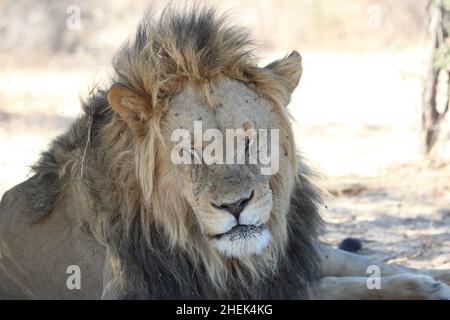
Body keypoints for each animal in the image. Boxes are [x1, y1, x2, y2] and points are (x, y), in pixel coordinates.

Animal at [0, 6, 450, 298]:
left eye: (249, 140)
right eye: (190, 151)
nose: (236, 206)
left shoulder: (291, 253)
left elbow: (351, 265)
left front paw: (430, 279)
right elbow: (330, 289)